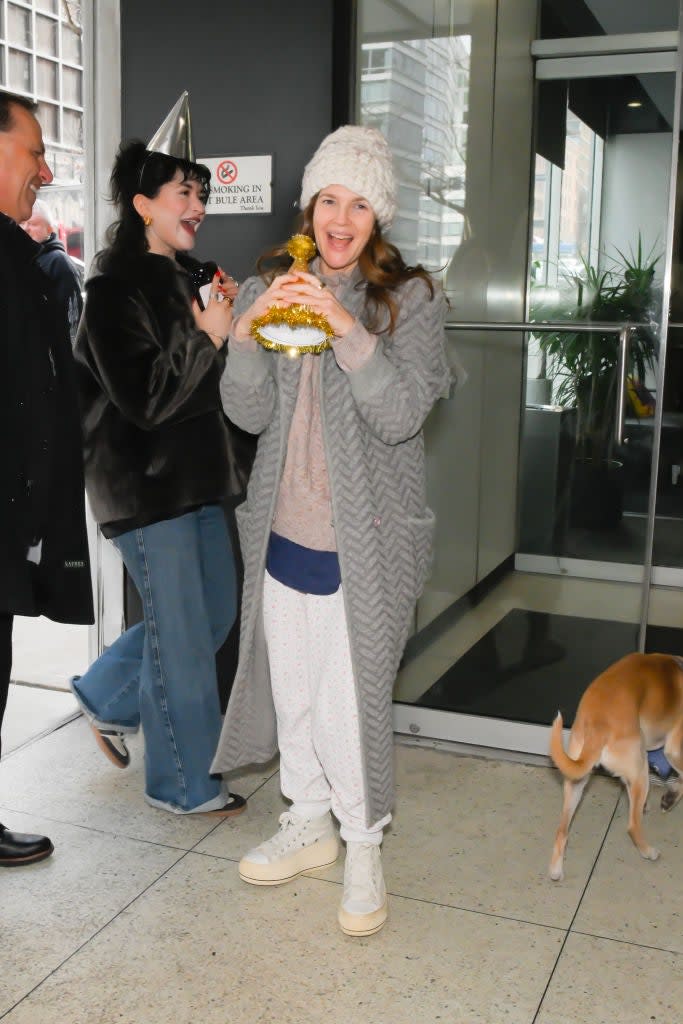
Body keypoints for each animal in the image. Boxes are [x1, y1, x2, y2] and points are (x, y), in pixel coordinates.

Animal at [548, 655, 683, 880]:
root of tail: (598, 724)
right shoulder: (674, 750)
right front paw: (670, 798)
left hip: (576, 783)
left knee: (561, 830)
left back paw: (556, 870)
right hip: (640, 769)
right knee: (633, 826)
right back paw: (649, 852)